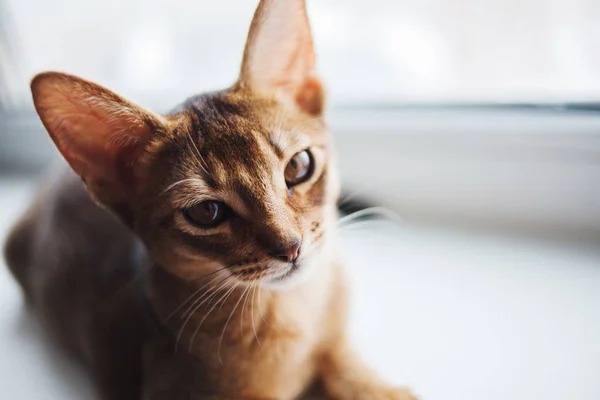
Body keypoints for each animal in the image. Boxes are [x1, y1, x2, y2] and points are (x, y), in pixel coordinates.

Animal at [3, 0, 418, 400]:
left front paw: (375, 387)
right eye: (207, 211)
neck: (294, 315)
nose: (290, 248)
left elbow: (346, 364)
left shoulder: (333, 340)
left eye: (299, 166)